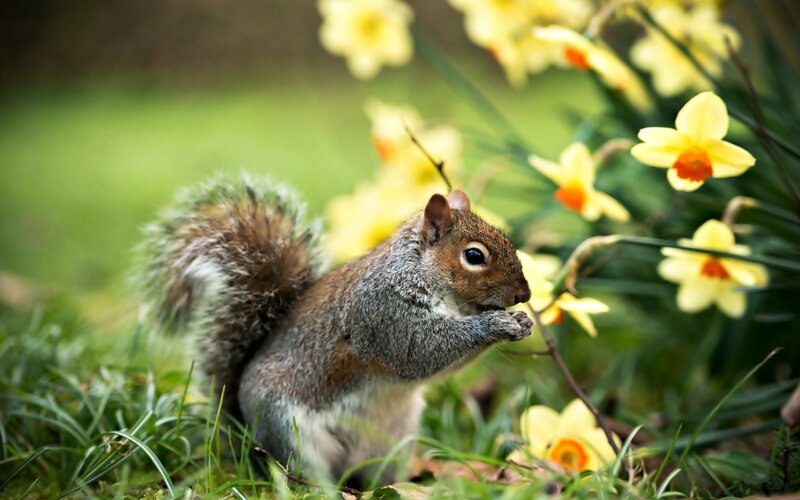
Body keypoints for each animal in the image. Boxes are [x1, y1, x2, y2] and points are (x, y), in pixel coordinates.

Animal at [138, 174, 532, 484]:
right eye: (474, 256)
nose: (524, 295)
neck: (419, 273)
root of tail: (246, 437)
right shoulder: (383, 314)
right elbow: (421, 351)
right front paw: (495, 324)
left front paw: (522, 321)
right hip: (290, 430)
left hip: (392, 441)